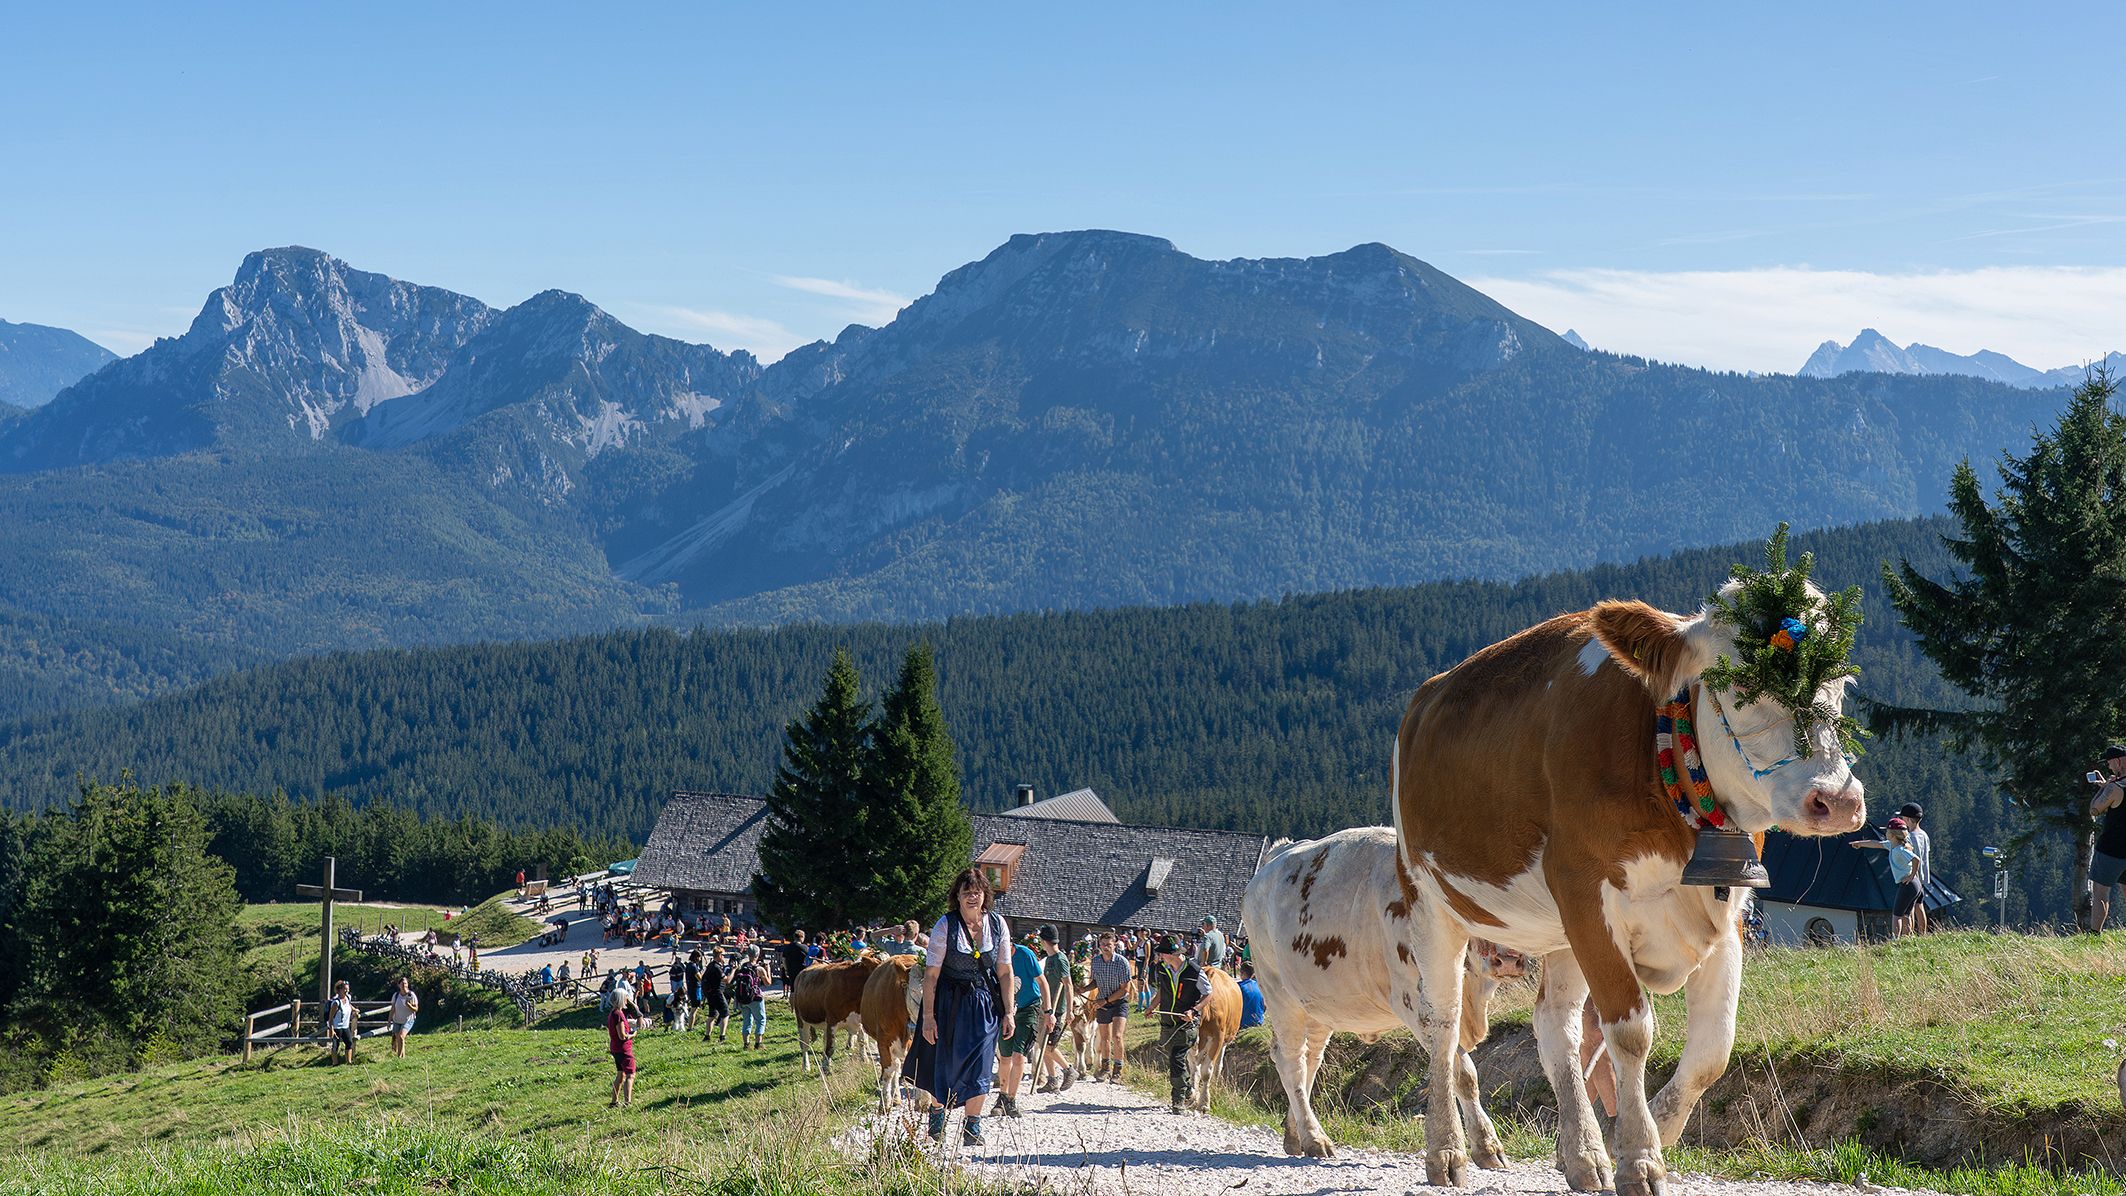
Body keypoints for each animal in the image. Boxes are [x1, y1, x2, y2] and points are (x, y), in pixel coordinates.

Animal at [858, 953, 927, 1111]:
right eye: (914, 992)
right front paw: (885, 1103)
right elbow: (889, 1071)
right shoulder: (884, 1040)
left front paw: (923, 1101)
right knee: (896, 1068)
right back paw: (895, 1098)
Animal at [1241, 827, 1524, 1161]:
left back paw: (1295, 1133)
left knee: (1310, 1059)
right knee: (1290, 1060)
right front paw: (1486, 1144)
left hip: (1319, 1004)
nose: (1509, 958)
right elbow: (1462, 1073)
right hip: (1278, 991)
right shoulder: (1418, 1005)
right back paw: (1314, 1137)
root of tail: (1278, 854)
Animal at [1393, 587, 1866, 1196]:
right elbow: (1631, 1032)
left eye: (1841, 683)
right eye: (1741, 682)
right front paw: (1640, 1157)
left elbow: (1713, 1048)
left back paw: (1582, 1155)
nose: (1839, 801)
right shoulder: (1588, 898)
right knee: (1444, 1025)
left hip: (1559, 932)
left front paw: (1657, 1130)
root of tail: (1426, 697)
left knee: (1556, 1026)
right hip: (1431, 903)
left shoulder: (1729, 912)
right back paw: (1448, 1150)